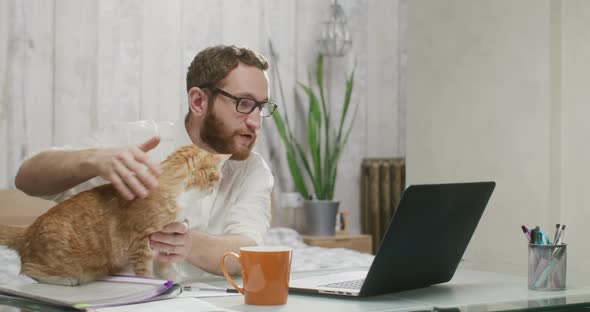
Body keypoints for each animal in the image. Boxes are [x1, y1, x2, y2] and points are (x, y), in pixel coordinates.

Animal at [0, 144, 224, 286]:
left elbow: (165, 264)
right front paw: (156, 286)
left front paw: (173, 280)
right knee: (29, 270)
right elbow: (145, 272)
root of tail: (28, 230)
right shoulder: (140, 244)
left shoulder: (164, 241)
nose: (215, 188)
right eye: (217, 179)